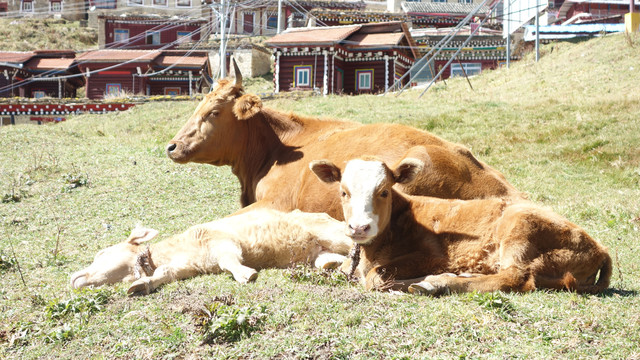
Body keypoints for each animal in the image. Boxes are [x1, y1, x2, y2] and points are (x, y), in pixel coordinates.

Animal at [70, 208, 352, 296]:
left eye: (102, 253)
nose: (73, 278)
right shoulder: (182, 268)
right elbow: (162, 274)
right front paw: (141, 285)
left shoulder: (223, 243)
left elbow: (230, 263)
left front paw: (246, 274)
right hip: (320, 253)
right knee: (336, 261)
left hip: (333, 233)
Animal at [310, 147, 608, 296]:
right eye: (343, 192)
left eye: (383, 191)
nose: (359, 227)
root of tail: (600, 250)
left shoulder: (431, 255)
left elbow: (376, 277)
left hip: (520, 229)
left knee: (516, 277)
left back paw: (437, 283)